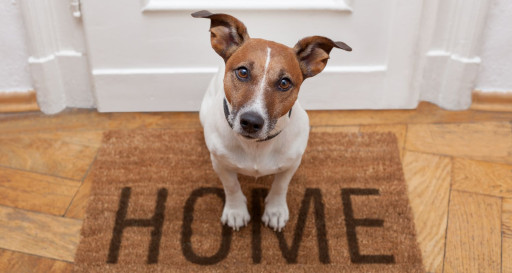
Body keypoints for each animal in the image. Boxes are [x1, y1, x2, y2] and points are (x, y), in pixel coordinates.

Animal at [193, 11, 352, 232]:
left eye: (284, 83)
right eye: (243, 72)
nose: (251, 122)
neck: (256, 146)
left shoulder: (291, 164)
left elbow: (280, 186)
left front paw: (275, 211)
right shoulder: (220, 163)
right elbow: (231, 186)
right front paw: (236, 211)